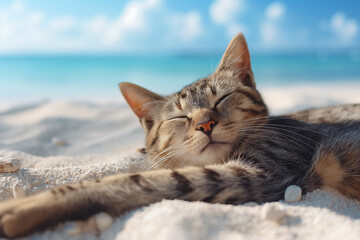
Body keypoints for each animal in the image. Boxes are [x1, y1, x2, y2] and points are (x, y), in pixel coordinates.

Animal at [0, 33, 360, 238]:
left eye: (221, 100)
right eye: (180, 117)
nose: (205, 124)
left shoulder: (264, 171)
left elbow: (130, 181)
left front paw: (28, 206)